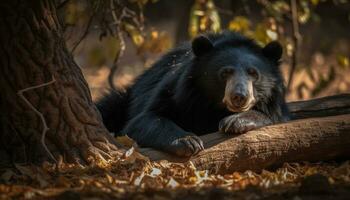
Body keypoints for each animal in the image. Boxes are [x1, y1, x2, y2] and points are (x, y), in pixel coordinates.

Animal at [96, 30, 290, 156]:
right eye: (225, 73)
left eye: (253, 73)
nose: (239, 96)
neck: (215, 106)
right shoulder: (179, 92)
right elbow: (144, 119)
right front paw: (189, 141)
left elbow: (275, 116)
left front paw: (234, 122)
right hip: (124, 100)